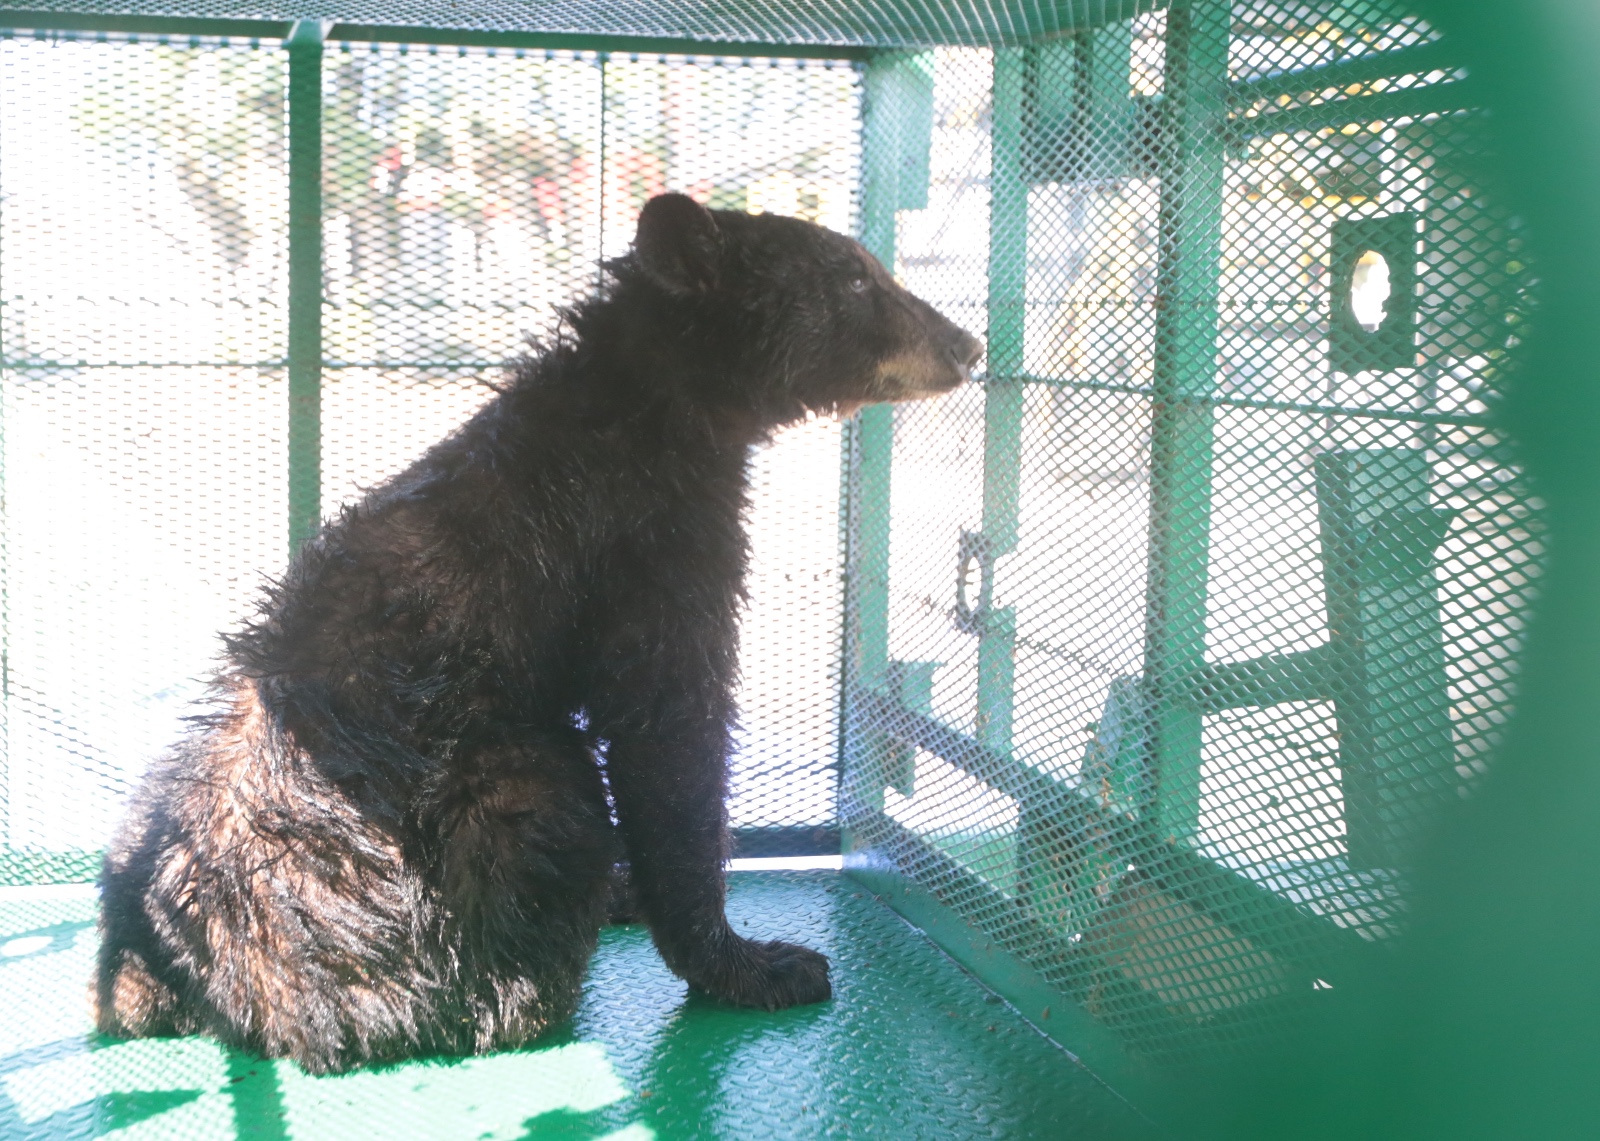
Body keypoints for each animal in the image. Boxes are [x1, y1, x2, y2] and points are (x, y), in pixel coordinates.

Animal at [93, 192, 983, 1074]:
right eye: (855, 277)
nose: (967, 344)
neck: (647, 408)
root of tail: (207, 990)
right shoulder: (652, 552)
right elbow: (669, 741)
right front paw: (751, 962)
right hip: (477, 789)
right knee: (542, 803)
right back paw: (526, 983)